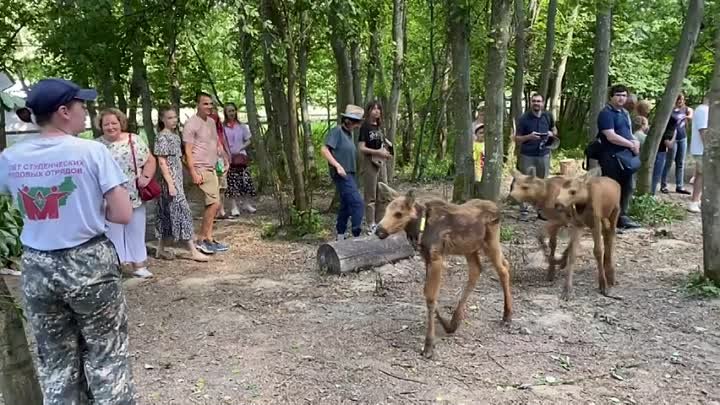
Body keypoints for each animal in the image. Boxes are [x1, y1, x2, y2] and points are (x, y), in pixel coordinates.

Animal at [374, 182, 510, 356]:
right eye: (386, 211)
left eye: (399, 214)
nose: (379, 231)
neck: (420, 230)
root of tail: (497, 209)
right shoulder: (427, 257)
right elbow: (426, 292)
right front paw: (445, 324)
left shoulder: (436, 257)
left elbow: (431, 297)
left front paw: (429, 345)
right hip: (470, 248)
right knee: (477, 270)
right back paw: (455, 320)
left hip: (490, 242)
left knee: (503, 268)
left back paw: (507, 316)